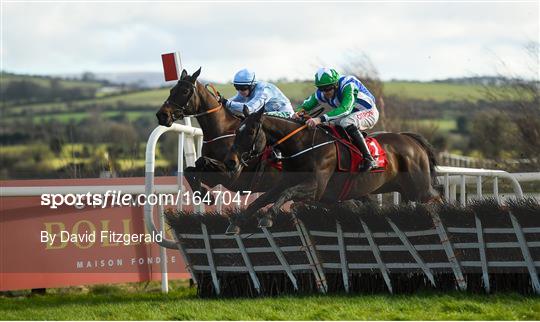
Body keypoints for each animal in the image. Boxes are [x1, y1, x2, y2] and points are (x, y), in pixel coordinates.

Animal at [155, 67, 280, 195]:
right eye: (171, 90)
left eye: (185, 91)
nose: (162, 115)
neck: (221, 130)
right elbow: (189, 171)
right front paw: (204, 194)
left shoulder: (232, 174)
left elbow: (203, 161)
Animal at [224, 107, 438, 233]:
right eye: (236, 130)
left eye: (251, 131)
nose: (231, 161)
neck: (303, 145)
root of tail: (411, 139)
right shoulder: (286, 181)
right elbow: (262, 198)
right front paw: (236, 223)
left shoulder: (316, 187)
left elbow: (287, 194)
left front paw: (267, 217)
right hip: (405, 192)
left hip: (419, 189)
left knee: (437, 198)